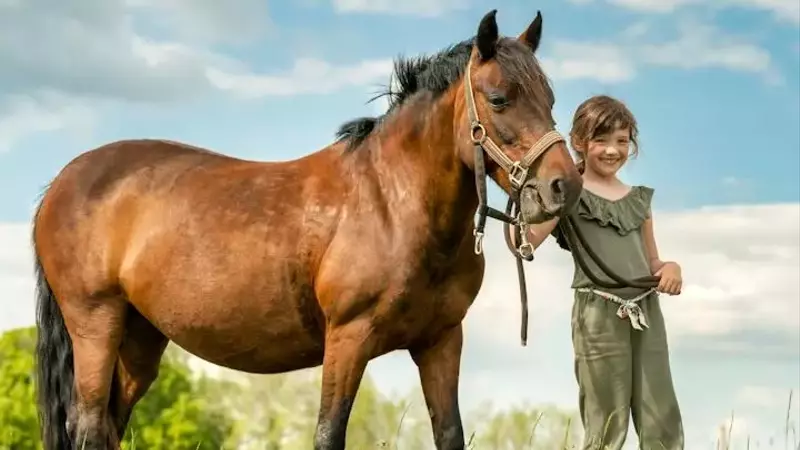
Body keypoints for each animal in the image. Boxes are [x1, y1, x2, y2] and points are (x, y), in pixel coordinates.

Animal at [32, 9, 582, 450]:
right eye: (499, 98)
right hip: (96, 324)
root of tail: (62, 182)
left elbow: (448, 433)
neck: (392, 203)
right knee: (88, 426)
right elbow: (328, 433)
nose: (565, 185)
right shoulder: (348, 339)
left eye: (551, 99)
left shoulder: (441, 342)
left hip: (140, 338)